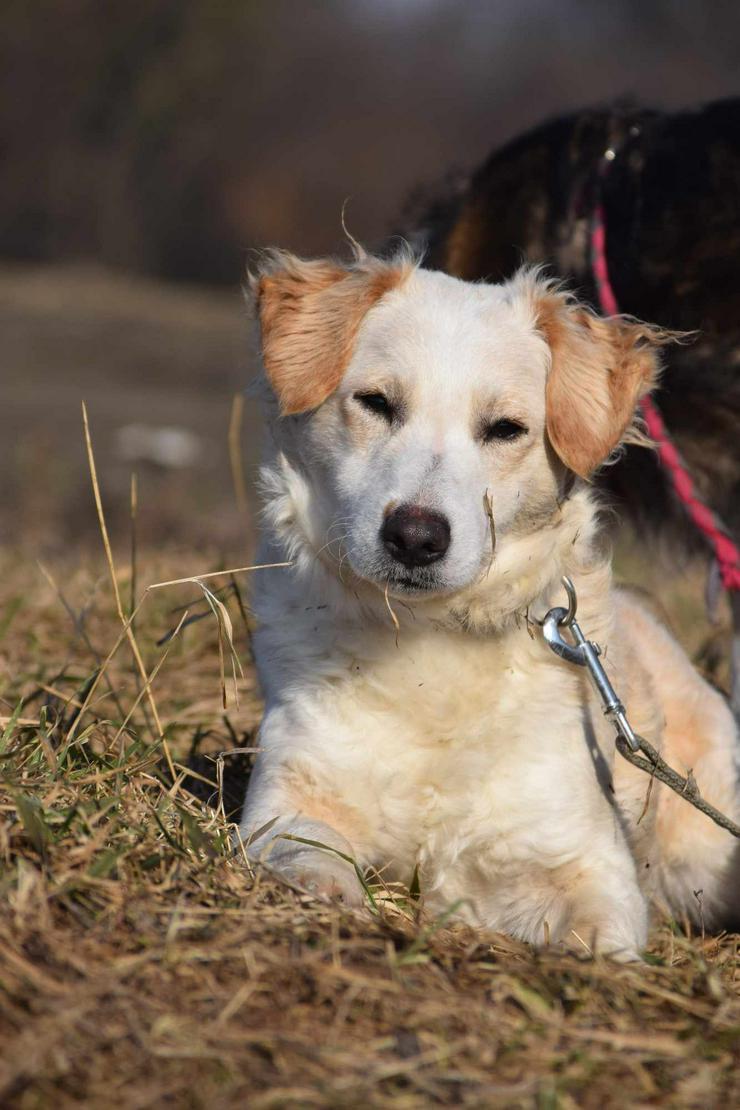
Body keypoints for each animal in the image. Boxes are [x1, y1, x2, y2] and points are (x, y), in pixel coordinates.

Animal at [240, 247, 736, 959]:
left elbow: (602, 932)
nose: (416, 537)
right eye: (376, 403)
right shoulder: (289, 795)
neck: (430, 644)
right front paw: (330, 894)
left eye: (505, 429)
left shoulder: (583, 860)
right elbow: (305, 850)